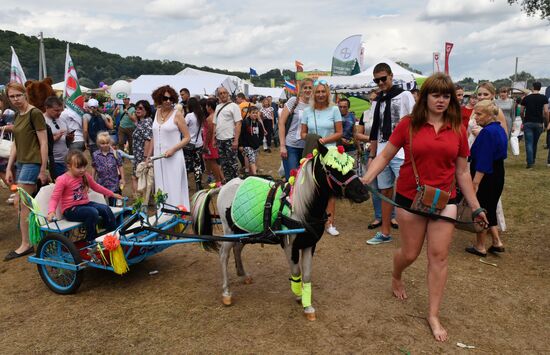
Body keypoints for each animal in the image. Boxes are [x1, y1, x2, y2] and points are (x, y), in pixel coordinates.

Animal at [193, 143, 370, 322]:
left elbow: (307, 274)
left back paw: (243, 275)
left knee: (237, 249)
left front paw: (307, 305)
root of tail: (223, 186)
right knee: (223, 254)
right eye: (332, 168)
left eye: (351, 165)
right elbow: (296, 272)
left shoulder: (309, 245)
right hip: (229, 231)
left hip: (243, 232)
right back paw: (226, 292)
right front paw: (298, 295)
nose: (364, 192)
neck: (299, 208)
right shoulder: (290, 247)